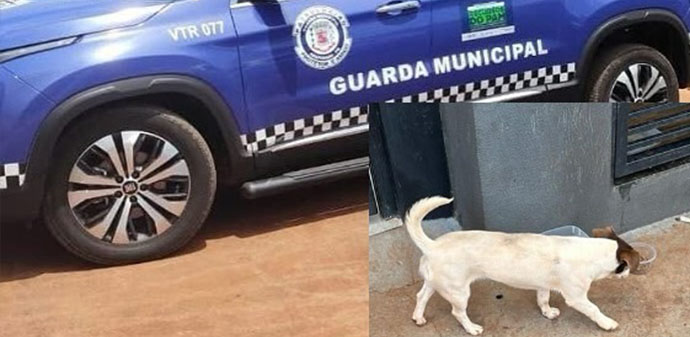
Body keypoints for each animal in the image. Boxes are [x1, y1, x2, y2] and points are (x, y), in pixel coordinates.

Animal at [404, 194, 640, 334]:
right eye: (626, 266)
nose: (627, 274)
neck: (591, 252)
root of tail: (432, 245)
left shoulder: (543, 286)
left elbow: (543, 300)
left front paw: (547, 313)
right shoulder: (577, 297)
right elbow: (594, 309)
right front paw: (607, 323)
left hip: (437, 283)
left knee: (421, 296)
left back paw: (418, 317)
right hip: (459, 292)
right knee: (457, 313)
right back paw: (472, 328)